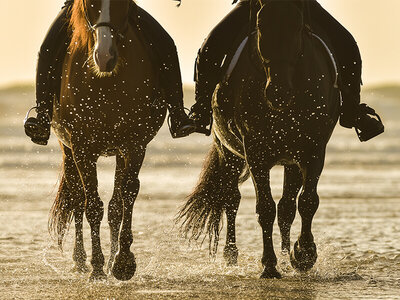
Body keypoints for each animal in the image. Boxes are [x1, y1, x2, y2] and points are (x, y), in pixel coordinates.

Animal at [48, 0, 166, 282]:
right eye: (89, 4)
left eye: (122, 3)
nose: (104, 57)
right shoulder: (82, 148)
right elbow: (91, 205)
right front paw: (98, 267)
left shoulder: (134, 145)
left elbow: (125, 197)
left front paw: (122, 262)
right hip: (68, 149)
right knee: (76, 200)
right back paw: (80, 260)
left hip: (118, 153)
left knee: (114, 205)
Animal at [177, 0, 340, 278]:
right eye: (261, 24)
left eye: (297, 25)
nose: (278, 92)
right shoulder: (255, 153)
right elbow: (265, 208)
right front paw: (269, 265)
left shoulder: (313, 150)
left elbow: (307, 202)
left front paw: (303, 254)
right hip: (229, 152)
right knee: (231, 199)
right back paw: (231, 255)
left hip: (290, 161)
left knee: (287, 208)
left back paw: (286, 255)